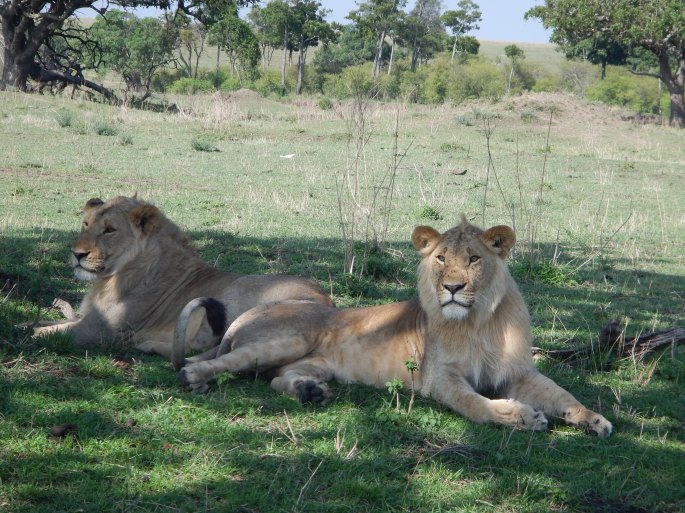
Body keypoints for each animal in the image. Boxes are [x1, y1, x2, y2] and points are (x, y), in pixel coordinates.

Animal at [32, 196, 333, 361]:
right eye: (86, 224)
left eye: (109, 230)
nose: (77, 254)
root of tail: (328, 305)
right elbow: (44, 323)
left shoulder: (99, 331)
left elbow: (43, 333)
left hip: (233, 294)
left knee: (202, 345)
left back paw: (146, 345)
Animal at [177, 217, 612, 436]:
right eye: (440, 258)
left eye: (474, 259)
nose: (453, 288)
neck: (477, 321)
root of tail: (247, 315)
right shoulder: (440, 378)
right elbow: (473, 404)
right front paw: (520, 417)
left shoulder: (518, 371)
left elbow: (562, 394)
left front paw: (595, 420)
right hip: (288, 338)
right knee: (208, 363)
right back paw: (195, 378)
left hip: (310, 361)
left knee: (274, 378)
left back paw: (310, 392)